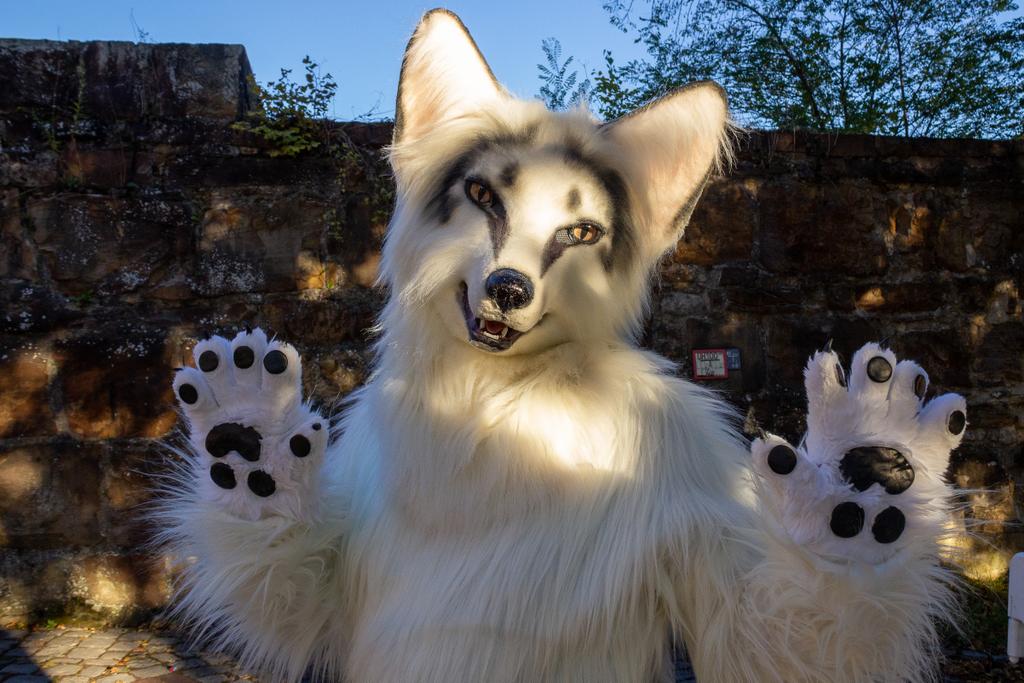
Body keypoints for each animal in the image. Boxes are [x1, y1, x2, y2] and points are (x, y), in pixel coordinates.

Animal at [156, 9, 967, 682]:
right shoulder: (335, 569)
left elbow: (773, 644)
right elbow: (293, 598)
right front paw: (253, 450)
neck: (485, 402)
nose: (509, 289)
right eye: (483, 195)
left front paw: (861, 481)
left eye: (581, 232)